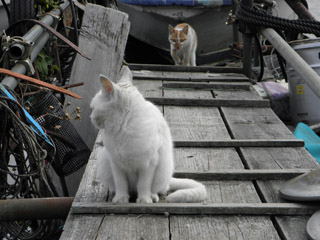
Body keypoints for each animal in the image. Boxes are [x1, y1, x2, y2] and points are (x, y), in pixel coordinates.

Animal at [89, 66, 208, 204]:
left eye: (93, 108)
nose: (90, 118)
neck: (122, 129)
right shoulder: (116, 164)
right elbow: (121, 184)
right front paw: (121, 199)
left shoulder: (148, 164)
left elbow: (143, 185)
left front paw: (144, 199)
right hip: (105, 163)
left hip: (162, 171)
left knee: (159, 189)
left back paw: (152, 197)